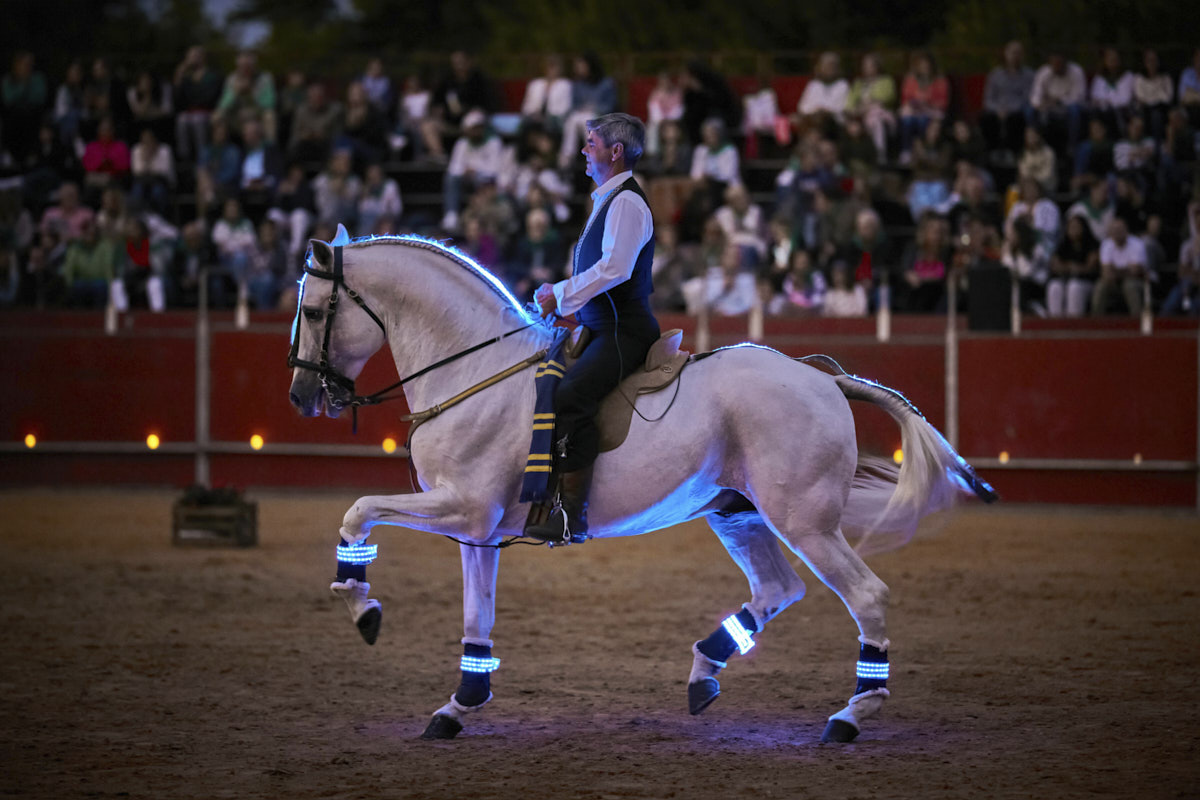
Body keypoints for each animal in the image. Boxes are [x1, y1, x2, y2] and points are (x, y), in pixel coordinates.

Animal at [286, 227, 995, 743]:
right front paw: (460, 705)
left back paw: (850, 715)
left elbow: (358, 511)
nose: (300, 397)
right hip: (737, 512)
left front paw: (362, 606)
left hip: (805, 522)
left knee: (865, 596)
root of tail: (823, 376)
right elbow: (475, 611)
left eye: (315, 310)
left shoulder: (461, 508)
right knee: (777, 588)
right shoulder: (478, 528)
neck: (477, 373)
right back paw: (705, 672)